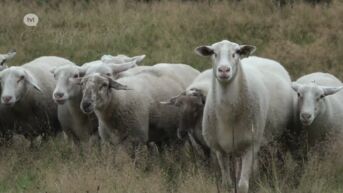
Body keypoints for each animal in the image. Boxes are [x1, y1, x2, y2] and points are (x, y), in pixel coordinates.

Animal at [195, 39, 294, 193]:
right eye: (213, 53)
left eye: (236, 52)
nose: (224, 70)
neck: (227, 114)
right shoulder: (220, 150)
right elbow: (227, 184)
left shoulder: (251, 146)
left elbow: (242, 185)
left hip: (278, 137)